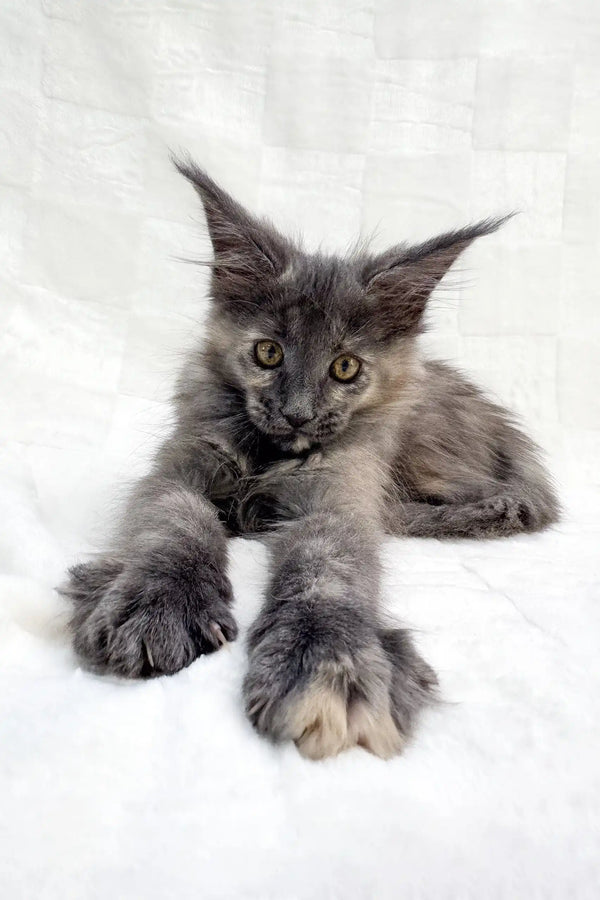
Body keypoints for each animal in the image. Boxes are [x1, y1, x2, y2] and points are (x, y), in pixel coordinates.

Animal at [61, 160, 556, 760]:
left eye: (345, 367)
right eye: (268, 353)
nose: (297, 414)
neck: (271, 454)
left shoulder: (340, 493)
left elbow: (327, 563)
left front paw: (326, 655)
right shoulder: (179, 470)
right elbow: (178, 521)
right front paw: (160, 603)